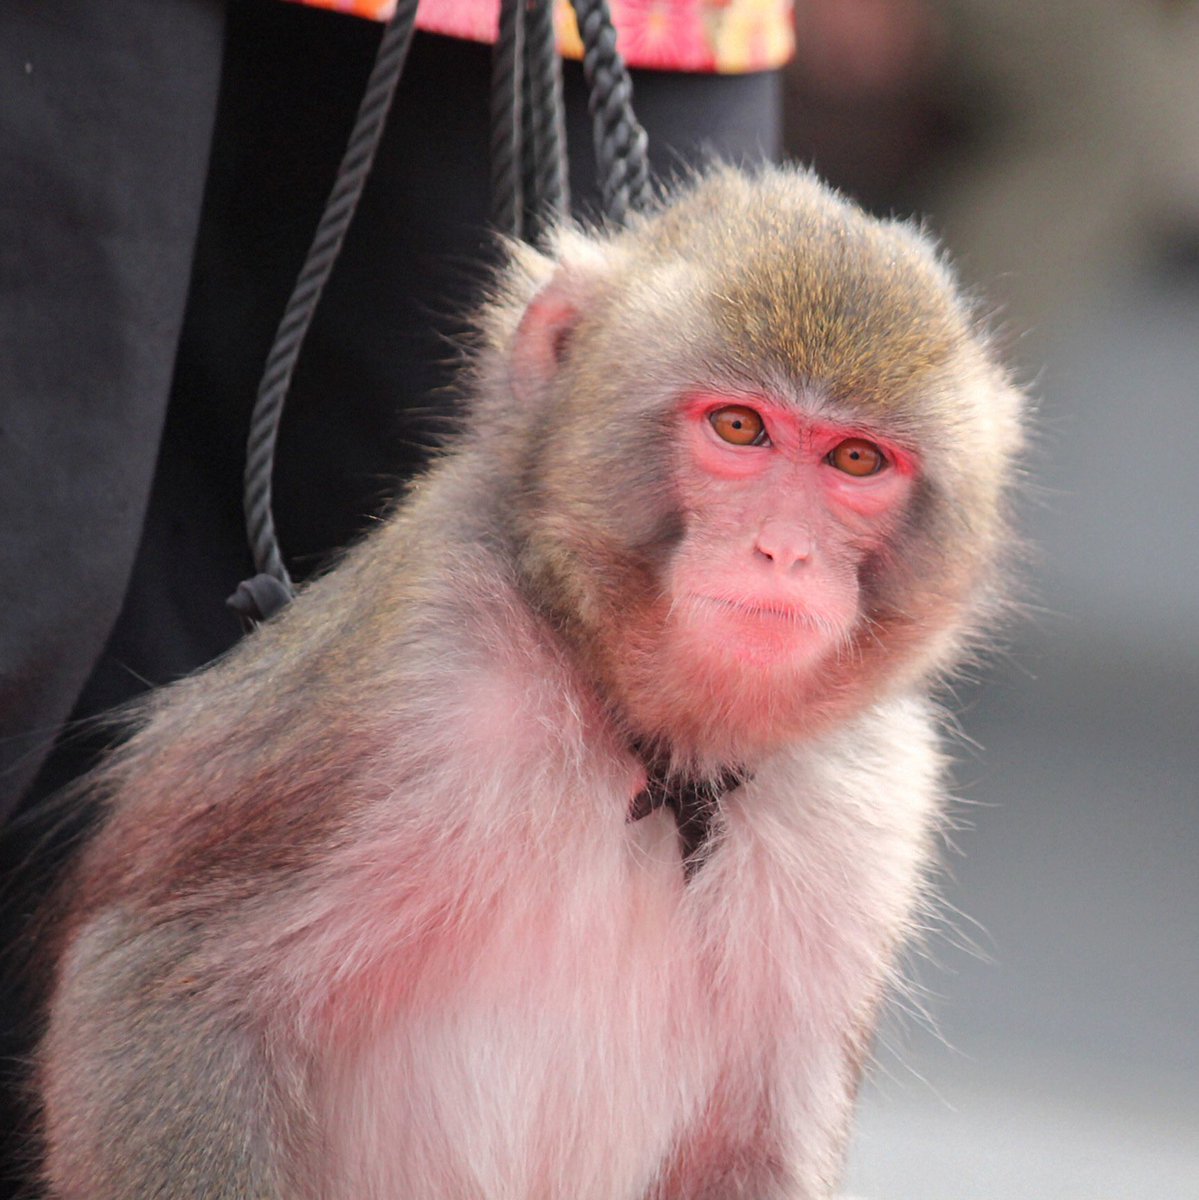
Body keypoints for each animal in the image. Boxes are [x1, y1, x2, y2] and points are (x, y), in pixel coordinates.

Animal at [35, 164, 1023, 1200]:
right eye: (740, 427)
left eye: (856, 459)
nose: (783, 551)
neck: (649, 736)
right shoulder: (417, 678)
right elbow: (157, 975)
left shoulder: (872, 804)